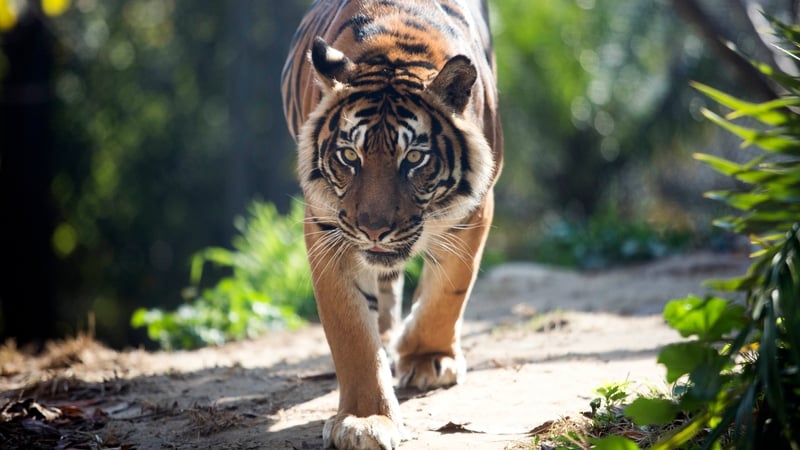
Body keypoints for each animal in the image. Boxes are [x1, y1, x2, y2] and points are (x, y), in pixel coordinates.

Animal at [281, 1, 503, 448]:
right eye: (350, 156)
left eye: (414, 158)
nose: (373, 230)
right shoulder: (327, 227)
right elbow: (351, 333)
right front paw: (365, 419)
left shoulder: (475, 208)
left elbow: (448, 291)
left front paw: (428, 358)